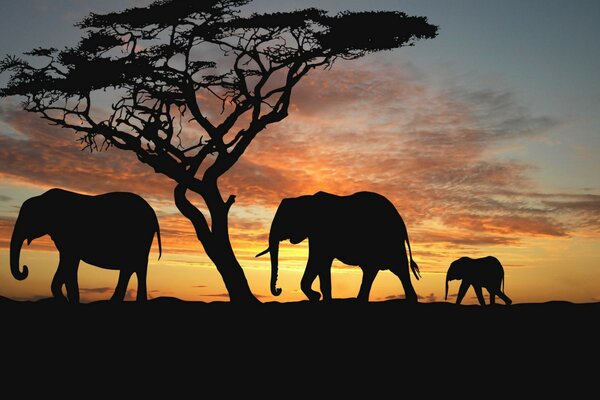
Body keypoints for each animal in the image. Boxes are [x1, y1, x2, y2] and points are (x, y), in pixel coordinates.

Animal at [9, 189, 162, 302]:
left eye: (27, 218)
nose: (25, 269)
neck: (42, 198)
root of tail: (153, 214)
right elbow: (66, 264)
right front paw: (66, 299)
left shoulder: (69, 236)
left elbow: (69, 263)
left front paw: (70, 300)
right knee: (133, 267)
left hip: (139, 238)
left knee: (135, 267)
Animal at [255, 192, 420, 302]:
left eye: (285, 220)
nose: (279, 289)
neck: (306, 199)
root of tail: (401, 222)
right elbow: (319, 263)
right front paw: (319, 297)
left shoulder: (322, 233)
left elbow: (318, 260)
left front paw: (318, 297)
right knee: (373, 270)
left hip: (390, 241)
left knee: (399, 269)